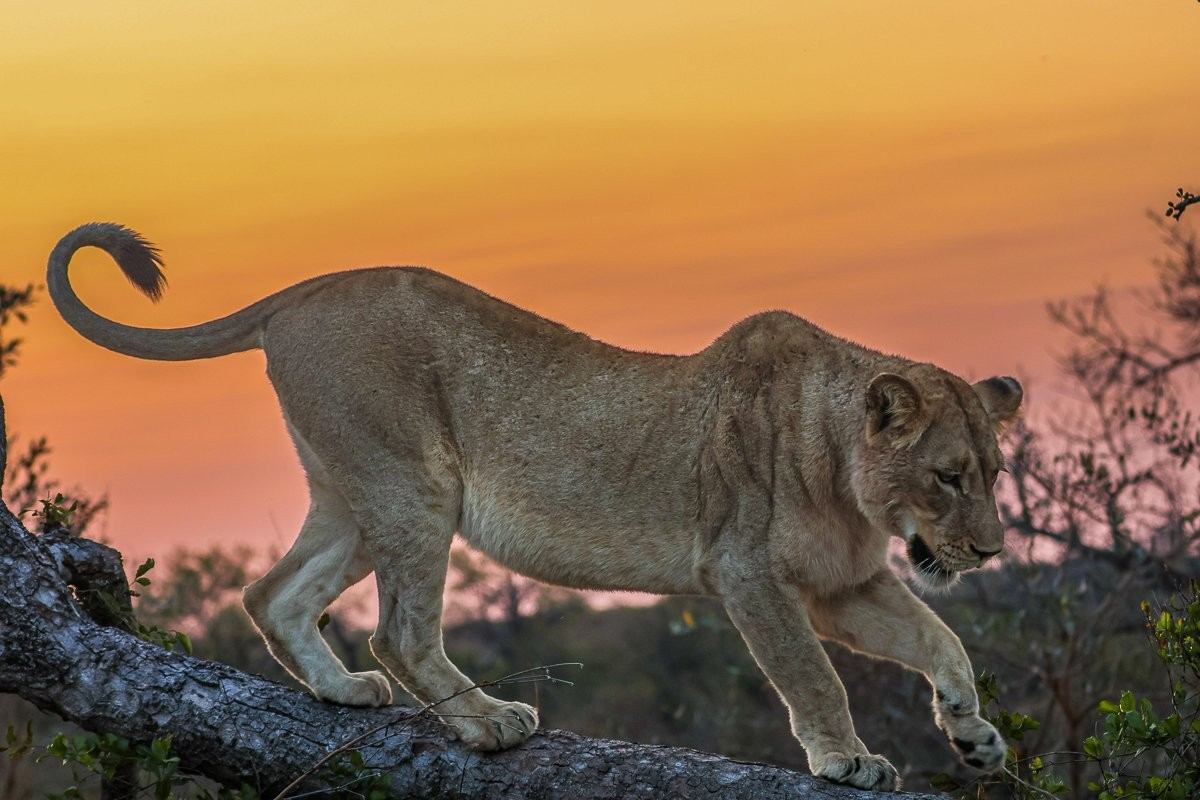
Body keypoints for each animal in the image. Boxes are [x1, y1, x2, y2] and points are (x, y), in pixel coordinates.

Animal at [48, 222, 1021, 791]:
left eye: (994, 472)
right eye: (948, 476)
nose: (991, 553)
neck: (846, 476)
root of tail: (306, 290)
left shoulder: (840, 585)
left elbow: (943, 640)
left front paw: (974, 736)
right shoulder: (749, 572)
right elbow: (813, 675)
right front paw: (846, 757)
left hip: (351, 497)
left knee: (272, 594)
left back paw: (343, 692)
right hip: (417, 486)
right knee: (398, 631)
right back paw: (488, 723)